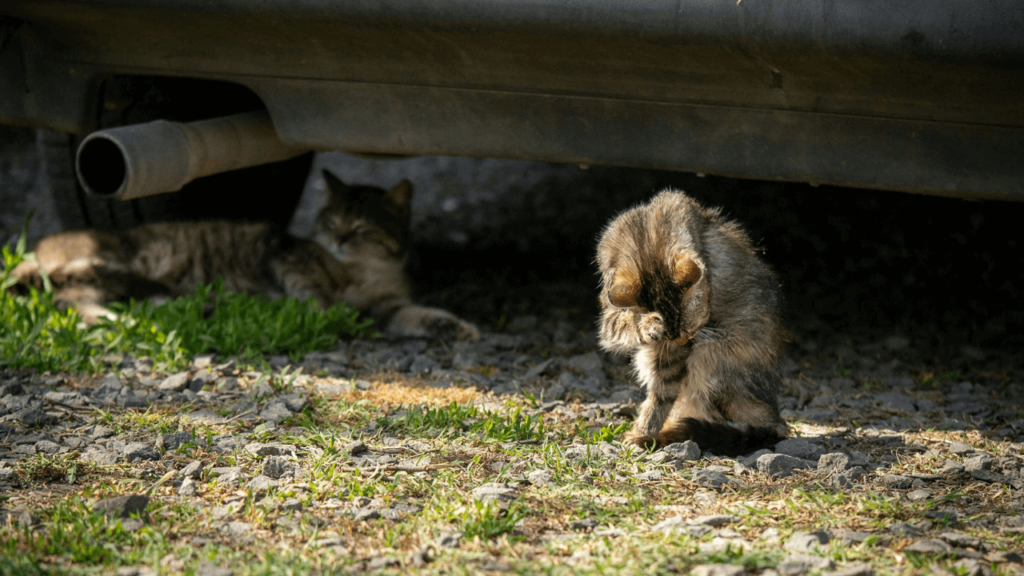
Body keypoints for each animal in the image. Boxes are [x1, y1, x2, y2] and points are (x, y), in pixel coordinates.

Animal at [9, 169, 479, 340]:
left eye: (361, 228)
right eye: (331, 223)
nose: (340, 241)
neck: (366, 270)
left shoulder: (389, 307)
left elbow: (419, 315)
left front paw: (456, 327)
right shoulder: (285, 260)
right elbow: (317, 296)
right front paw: (329, 315)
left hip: (106, 282)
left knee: (70, 300)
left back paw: (133, 317)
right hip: (112, 262)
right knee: (63, 294)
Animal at [598, 190, 786, 455]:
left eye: (688, 332)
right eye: (671, 335)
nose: (682, 341)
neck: (648, 239)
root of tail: (776, 416)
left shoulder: (680, 353)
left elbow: (661, 395)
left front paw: (644, 433)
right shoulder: (609, 309)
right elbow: (620, 323)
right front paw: (647, 324)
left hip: (712, 354)